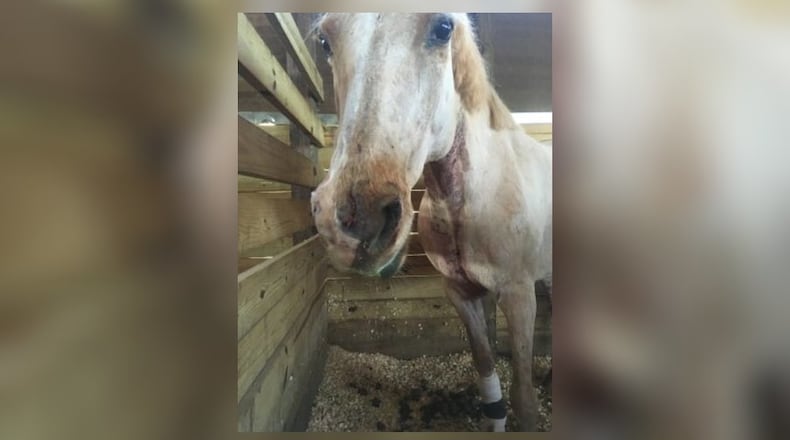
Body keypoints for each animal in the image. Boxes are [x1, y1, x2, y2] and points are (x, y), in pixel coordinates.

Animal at [310, 13, 552, 431]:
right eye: (325, 39)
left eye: (443, 28)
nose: (356, 218)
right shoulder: (460, 293)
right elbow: (488, 377)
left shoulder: (519, 296)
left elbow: (524, 402)